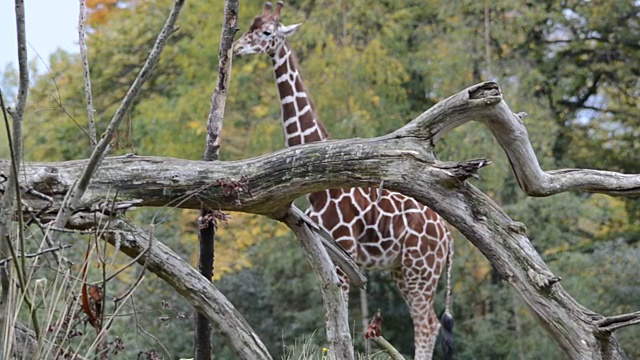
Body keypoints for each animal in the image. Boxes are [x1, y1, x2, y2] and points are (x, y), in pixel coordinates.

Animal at [232, 2, 452, 358]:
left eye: (266, 32)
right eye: (250, 27)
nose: (237, 48)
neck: (320, 191)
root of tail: (447, 236)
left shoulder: (345, 253)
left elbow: (340, 328)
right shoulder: (327, 253)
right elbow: (331, 323)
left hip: (420, 270)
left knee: (426, 325)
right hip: (403, 270)